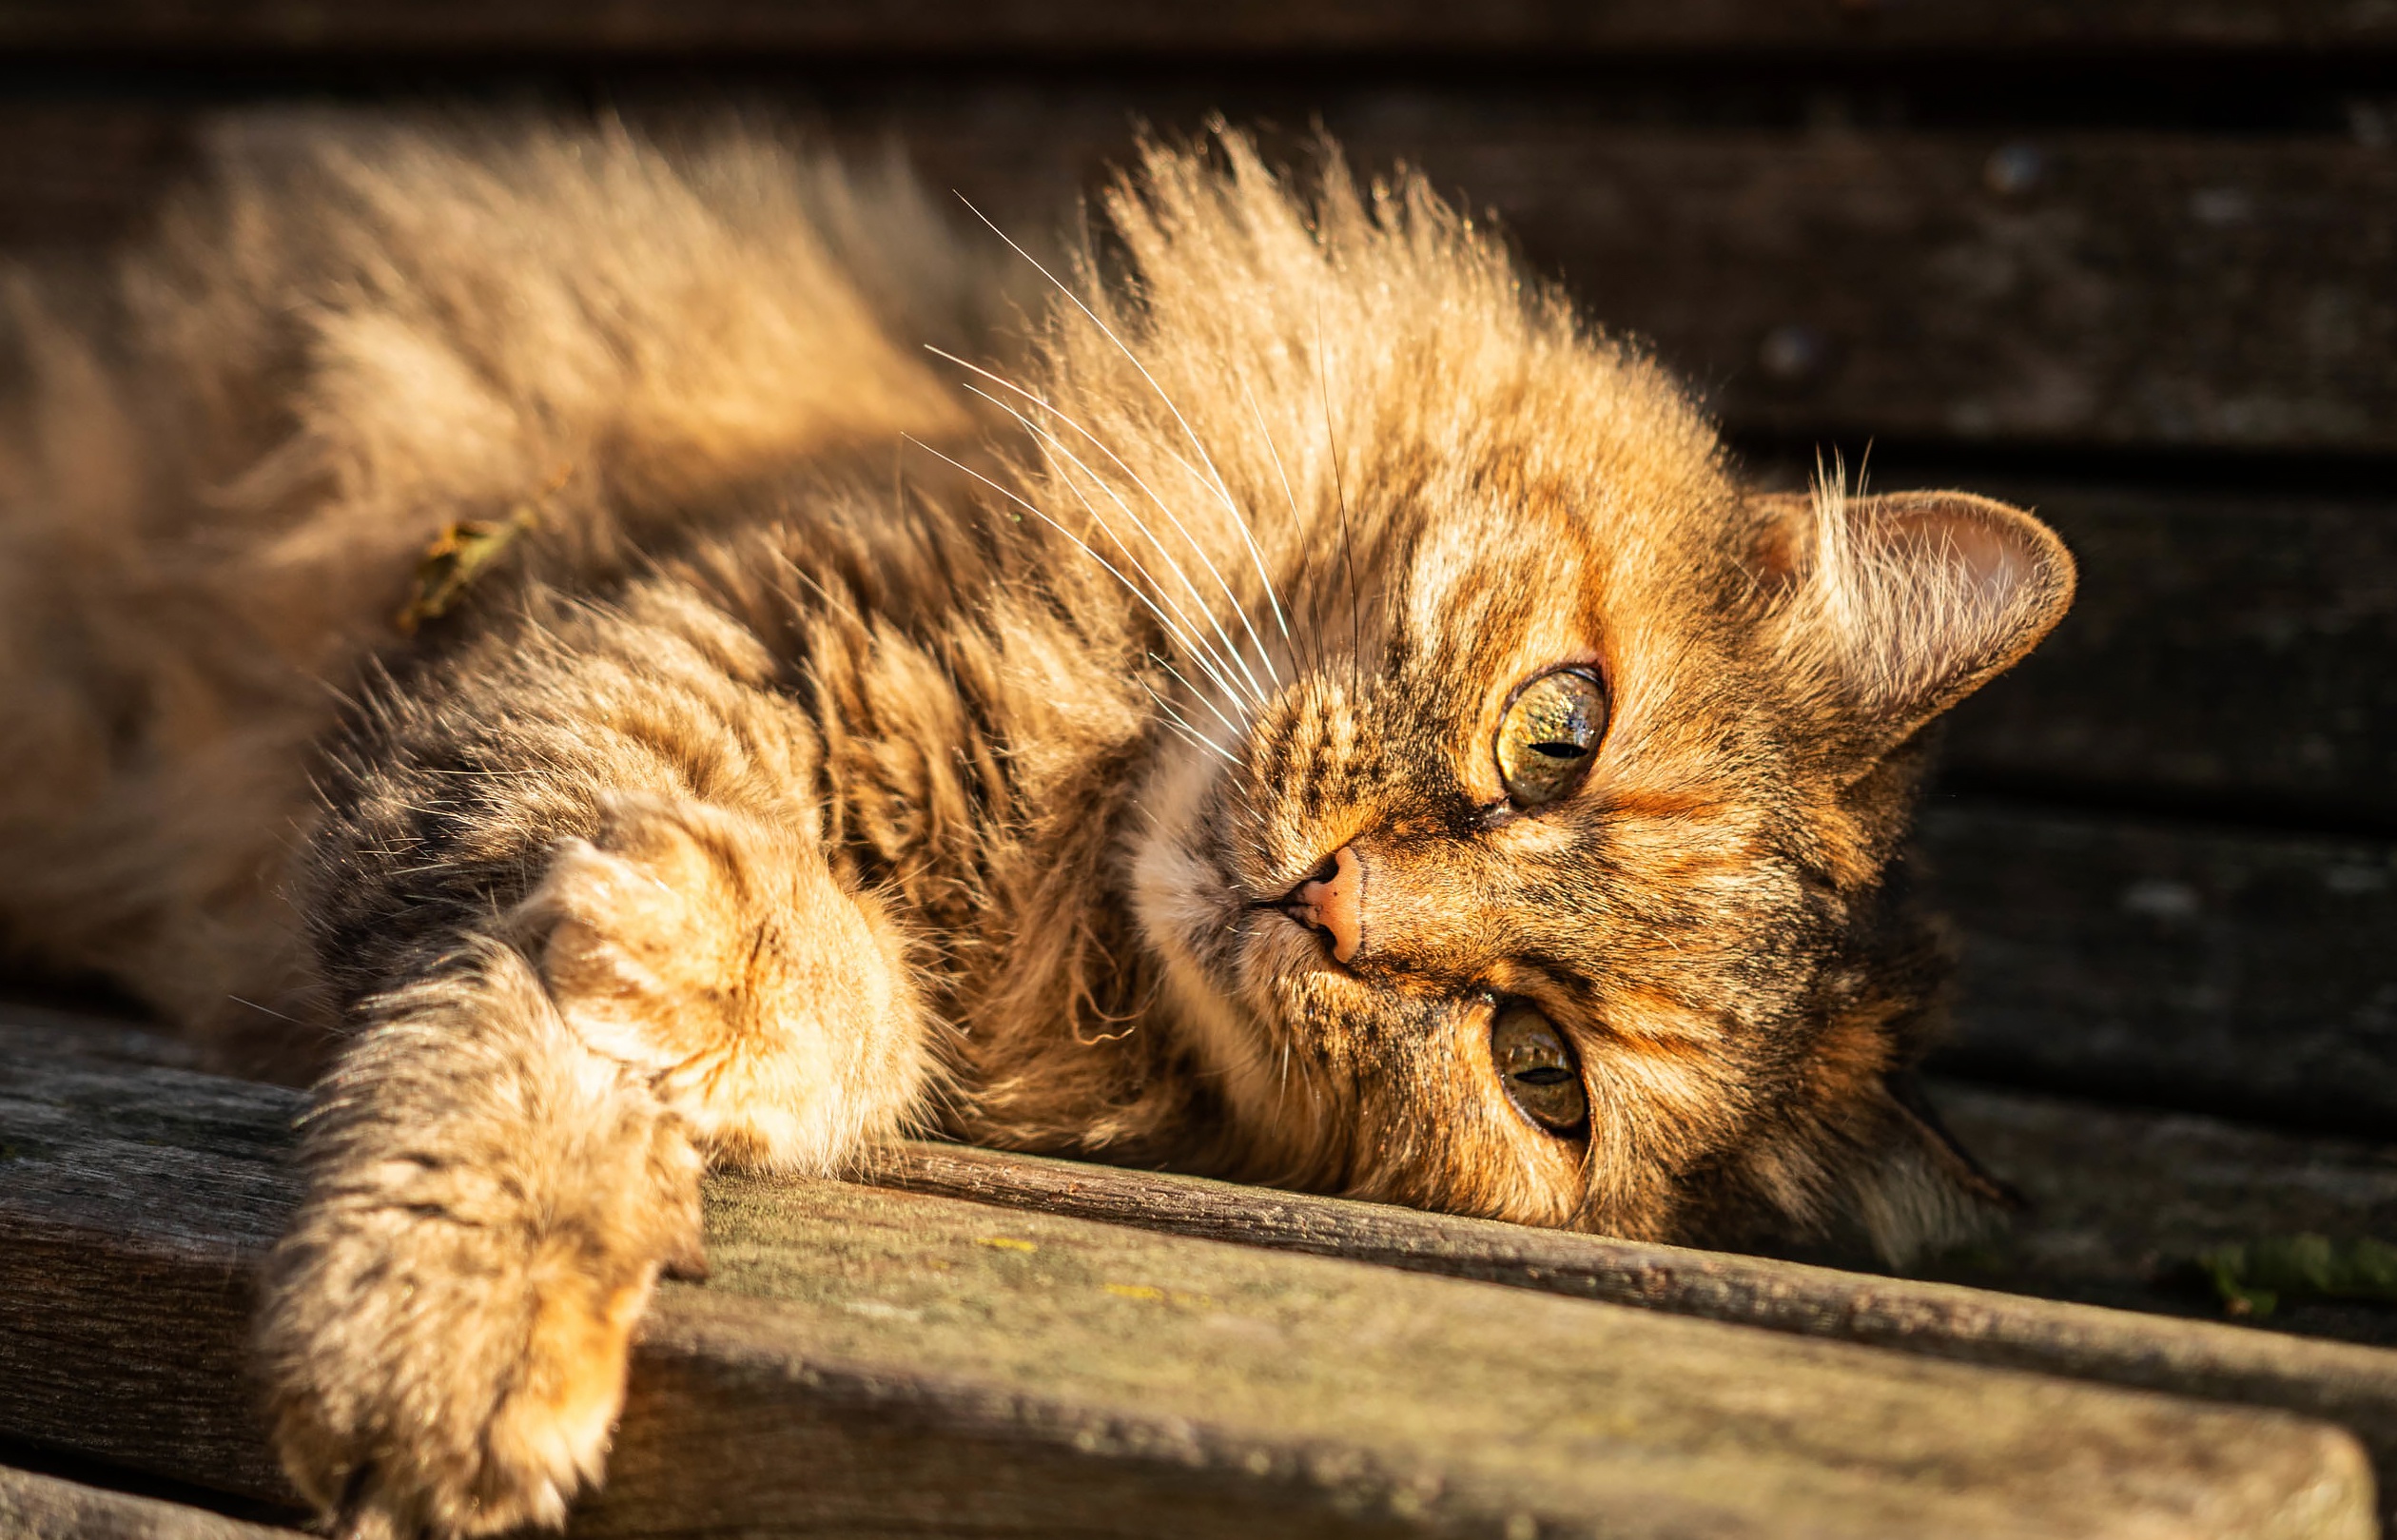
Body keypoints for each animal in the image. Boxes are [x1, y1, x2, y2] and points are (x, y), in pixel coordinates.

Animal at [0, 113, 2071, 1525]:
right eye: (1559, 729)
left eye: (1538, 1068)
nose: (1330, 905)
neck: (1055, 829)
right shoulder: (652, 652)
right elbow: (519, 1059)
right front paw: (444, 1344)